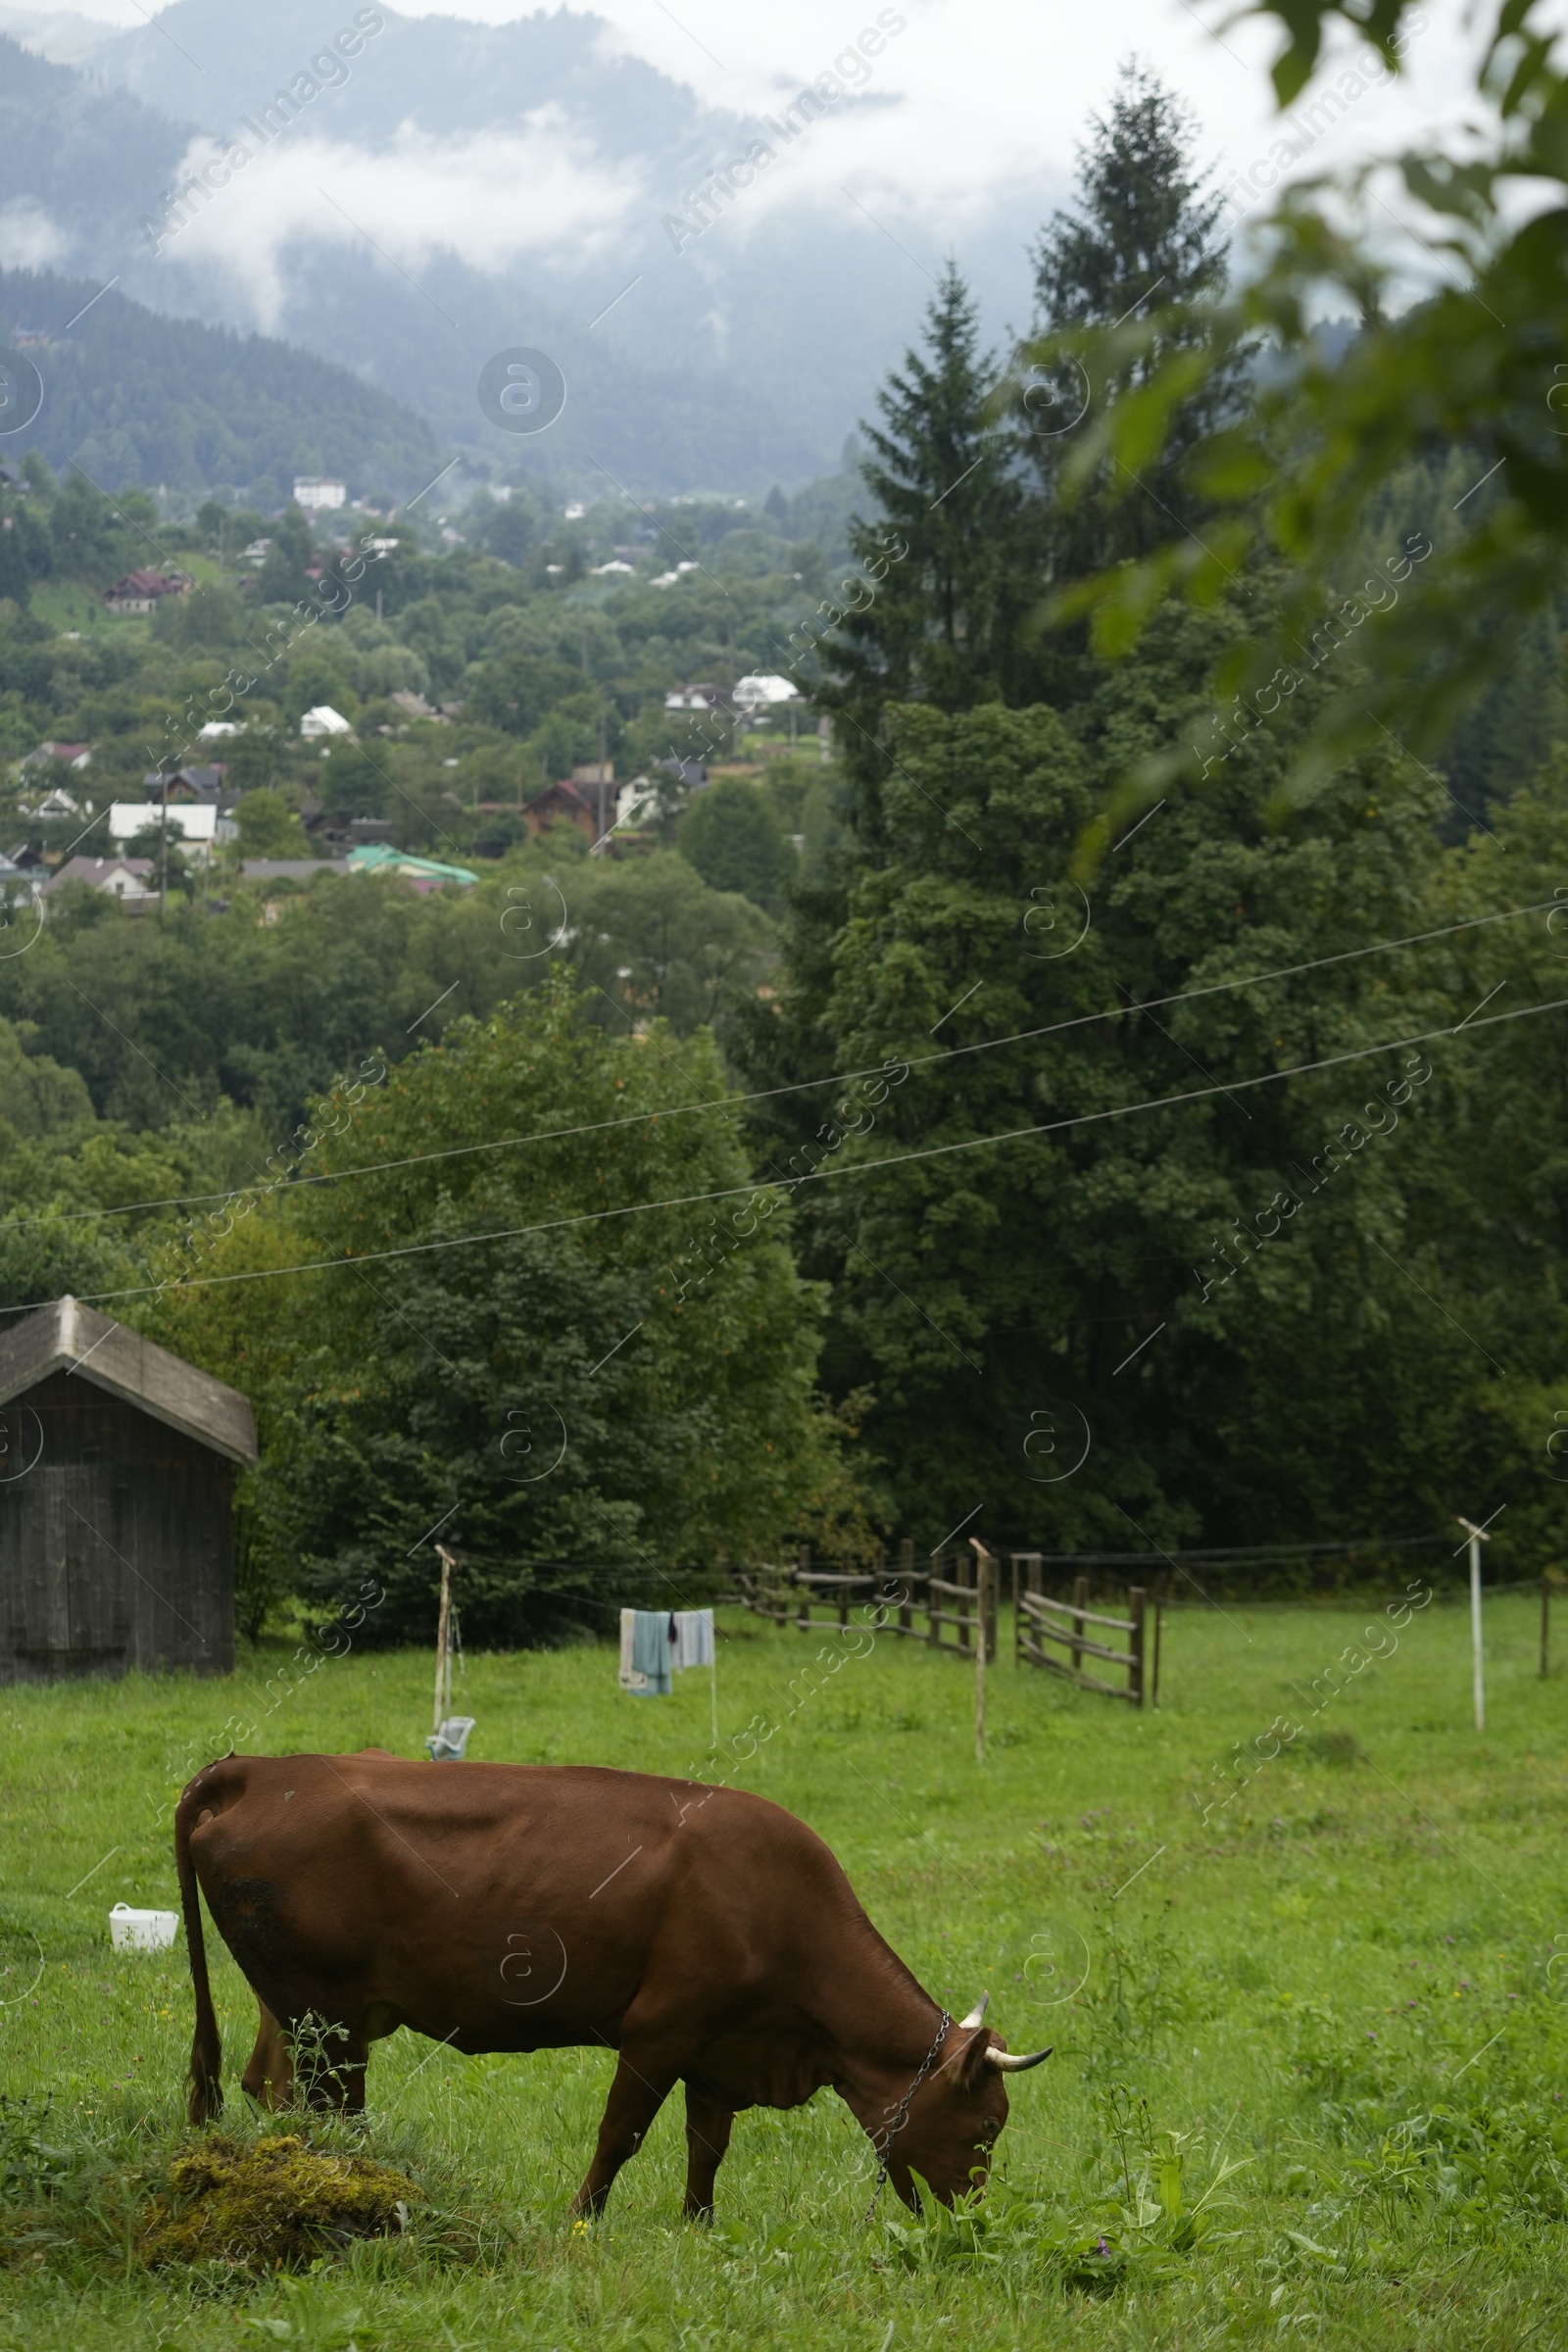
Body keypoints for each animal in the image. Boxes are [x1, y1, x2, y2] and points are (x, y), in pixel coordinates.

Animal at [174, 1759, 1053, 2211]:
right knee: (331, 2105)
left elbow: (707, 2151)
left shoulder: (718, 2054)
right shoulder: (658, 2031)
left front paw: (698, 2230)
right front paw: (580, 2224)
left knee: (270, 2086)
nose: (969, 2221)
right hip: (326, 2013)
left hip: (303, 2011)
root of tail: (262, 1768)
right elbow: (619, 2137)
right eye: (986, 2126)